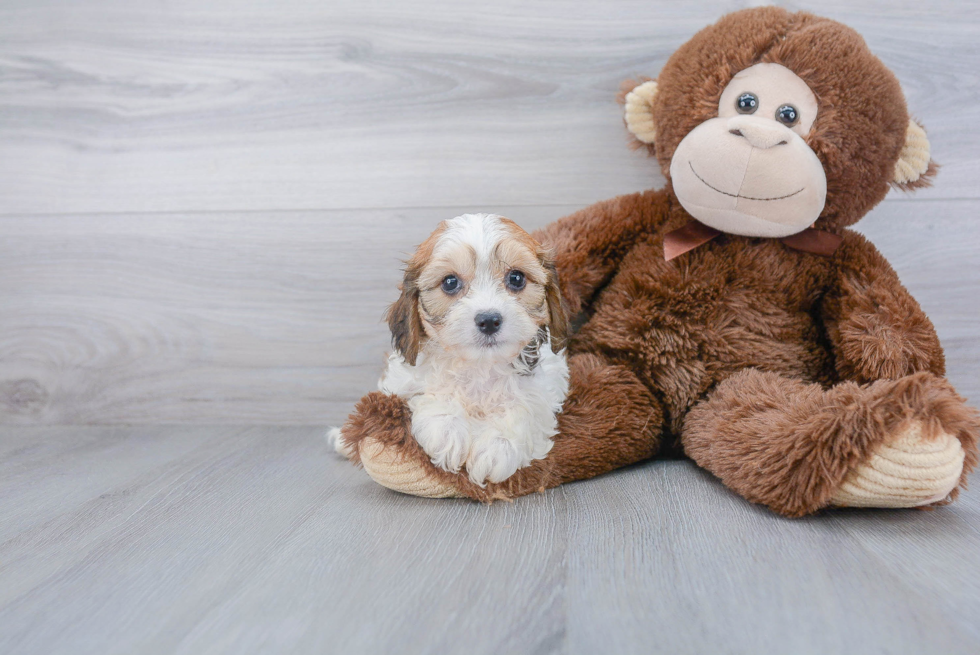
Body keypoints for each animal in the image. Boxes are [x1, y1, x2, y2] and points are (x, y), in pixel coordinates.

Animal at [334, 215, 572, 486]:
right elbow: (430, 391)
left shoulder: (547, 383)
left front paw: (496, 446)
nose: (489, 320)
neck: (479, 365)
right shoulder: (402, 379)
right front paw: (447, 431)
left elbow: (527, 408)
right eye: (450, 282)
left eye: (516, 278)